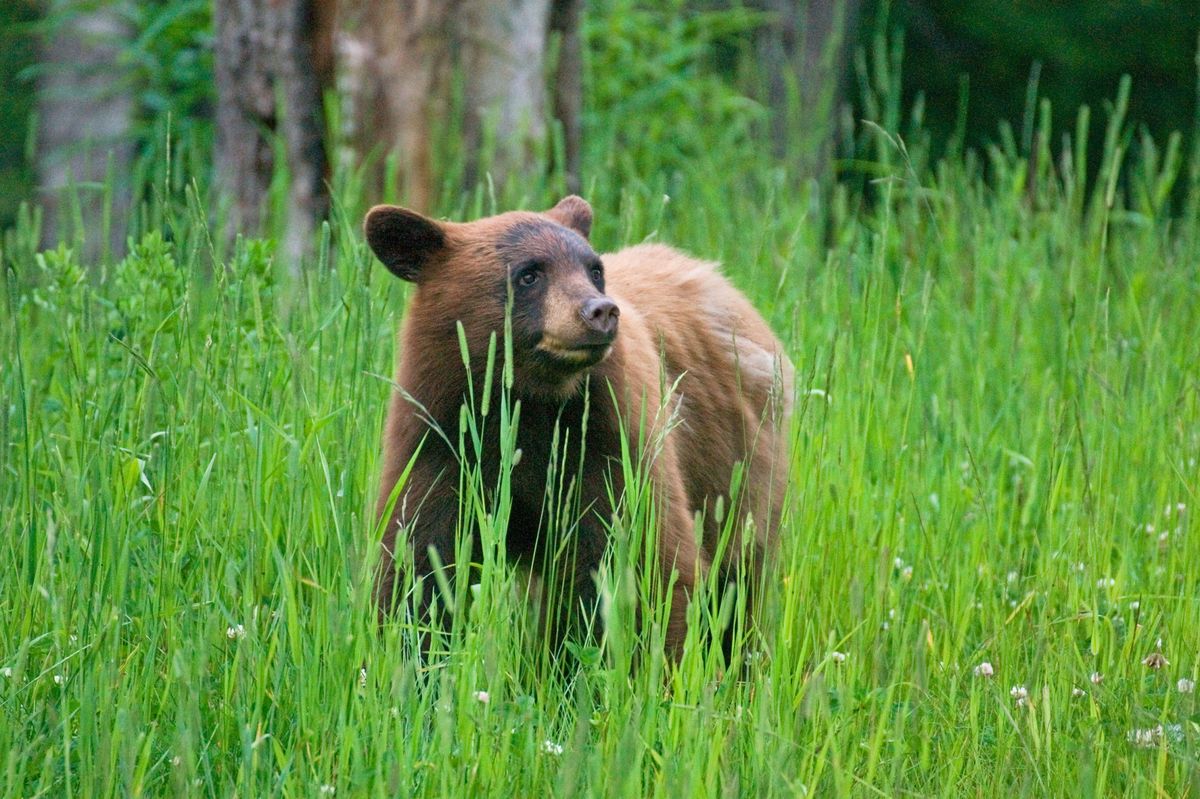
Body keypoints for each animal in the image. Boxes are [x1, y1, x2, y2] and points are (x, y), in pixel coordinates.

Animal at [369, 195, 792, 657]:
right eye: (529, 274)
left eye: (594, 270)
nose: (601, 311)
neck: (527, 404)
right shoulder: (441, 439)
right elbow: (419, 561)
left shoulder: (609, 445)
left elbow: (645, 562)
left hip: (736, 469)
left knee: (738, 577)